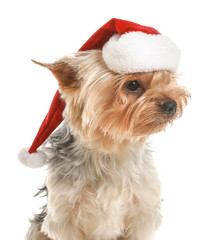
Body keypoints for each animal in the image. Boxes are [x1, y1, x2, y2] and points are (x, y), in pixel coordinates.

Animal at [21, 17, 191, 239]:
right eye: (132, 84)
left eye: (166, 79)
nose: (172, 105)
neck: (110, 148)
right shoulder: (65, 216)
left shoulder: (141, 211)